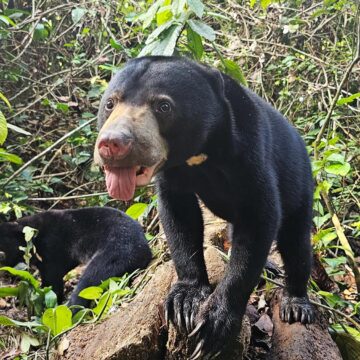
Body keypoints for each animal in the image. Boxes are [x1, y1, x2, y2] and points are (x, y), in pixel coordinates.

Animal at [93, 56, 316, 358]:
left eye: (163, 106)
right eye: (110, 103)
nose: (112, 144)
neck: (199, 153)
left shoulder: (250, 151)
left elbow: (260, 218)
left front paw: (214, 326)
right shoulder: (173, 176)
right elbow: (179, 219)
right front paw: (185, 302)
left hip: (301, 181)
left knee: (296, 241)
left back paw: (296, 304)